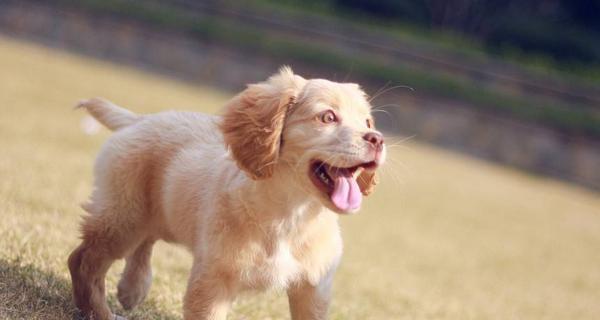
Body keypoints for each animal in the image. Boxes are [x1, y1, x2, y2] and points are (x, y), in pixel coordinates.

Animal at [68, 66, 386, 318]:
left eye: (367, 122)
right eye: (328, 117)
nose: (378, 139)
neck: (291, 215)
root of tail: (140, 120)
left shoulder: (314, 288)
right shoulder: (213, 283)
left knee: (144, 239)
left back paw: (132, 287)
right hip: (123, 216)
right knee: (83, 261)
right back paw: (100, 311)